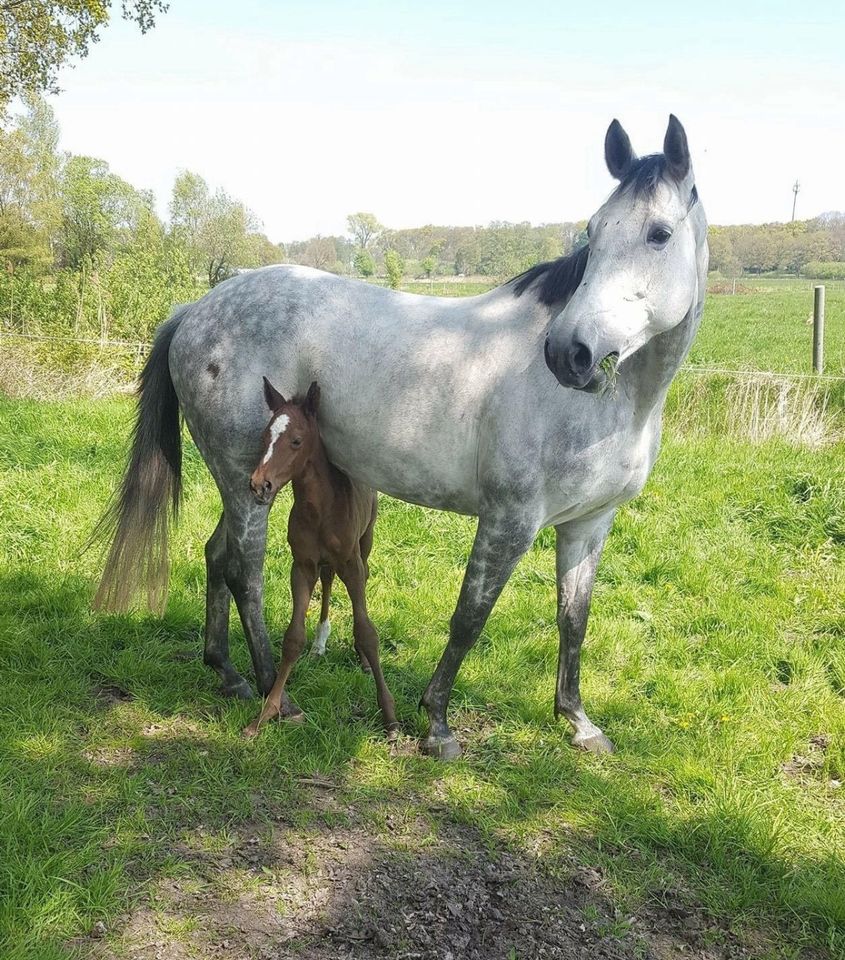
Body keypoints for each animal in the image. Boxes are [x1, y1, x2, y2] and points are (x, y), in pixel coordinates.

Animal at [242, 378, 398, 740]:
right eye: (264, 437)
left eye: (296, 441)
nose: (259, 485)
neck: (320, 511)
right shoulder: (301, 566)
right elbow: (292, 637)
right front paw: (266, 714)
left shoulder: (351, 564)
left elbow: (367, 631)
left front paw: (390, 716)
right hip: (325, 564)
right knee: (327, 580)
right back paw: (320, 642)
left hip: (365, 541)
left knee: (362, 575)